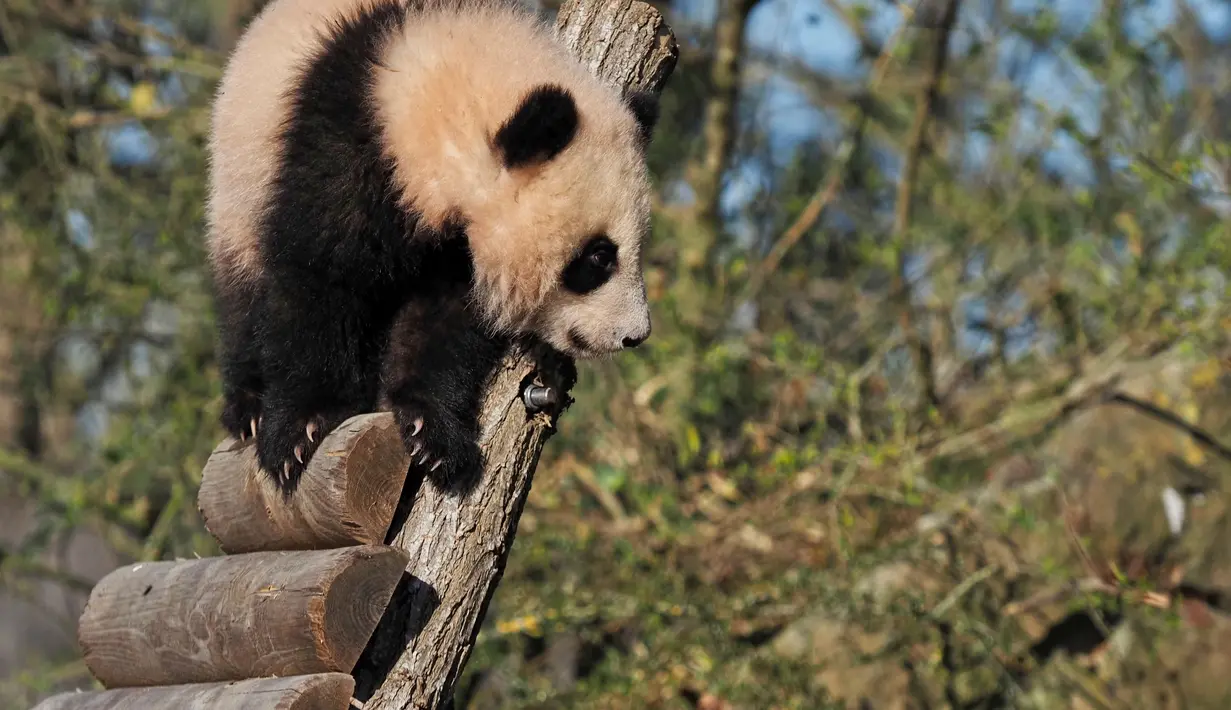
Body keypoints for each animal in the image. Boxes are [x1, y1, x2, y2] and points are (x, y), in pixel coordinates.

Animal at [206, 0, 660, 495]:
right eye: (599, 256)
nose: (635, 335)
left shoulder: (456, 247)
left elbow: (444, 320)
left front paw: (431, 431)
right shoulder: (349, 137)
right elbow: (318, 273)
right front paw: (299, 430)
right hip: (240, 187)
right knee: (241, 294)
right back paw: (248, 406)